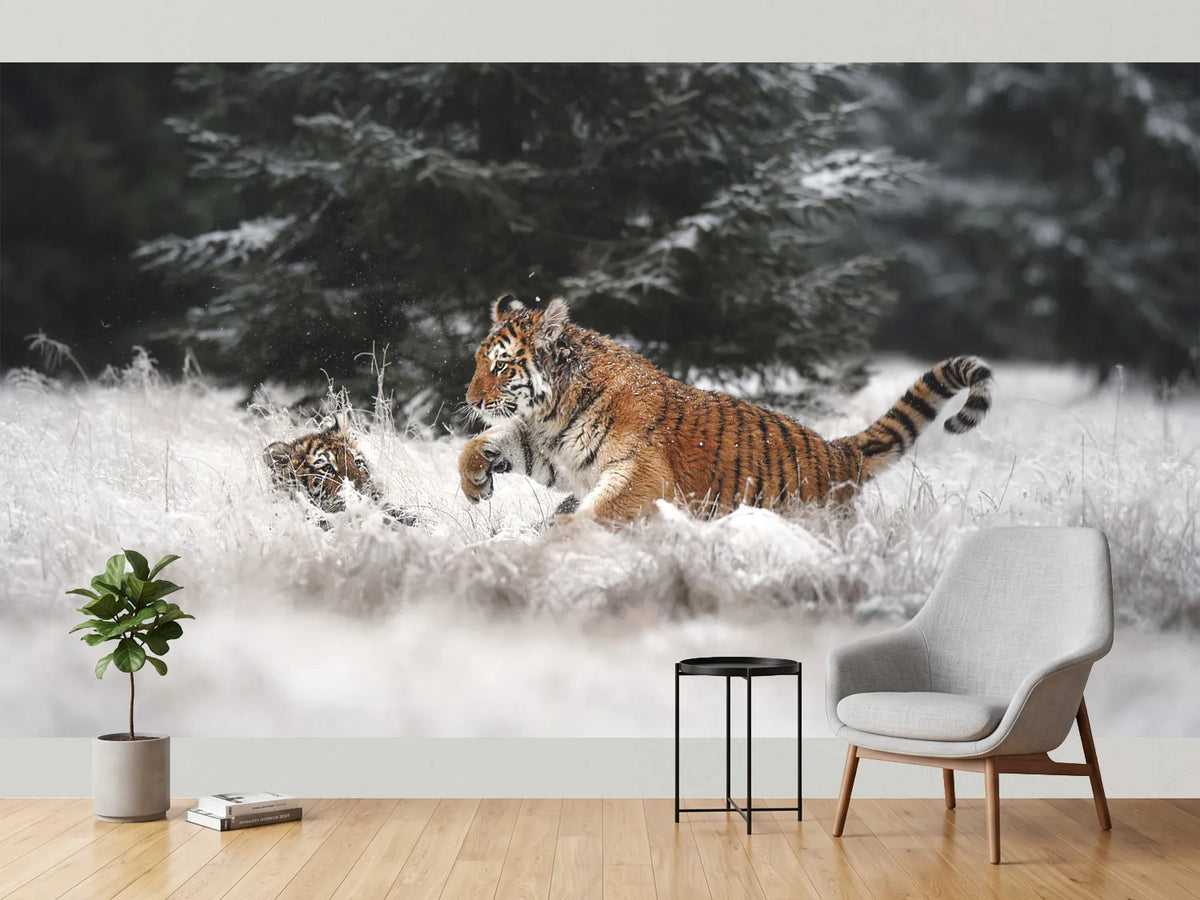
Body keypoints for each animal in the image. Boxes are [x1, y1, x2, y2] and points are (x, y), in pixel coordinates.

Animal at [458, 294, 993, 524]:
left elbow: (602, 509)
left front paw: (563, 536)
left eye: (501, 366)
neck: (553, 410)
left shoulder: (640, 471)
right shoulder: (550, 448)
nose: (470, 400)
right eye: (479, 361)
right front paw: (475, 482)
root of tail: (841, 451)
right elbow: (486, 441)